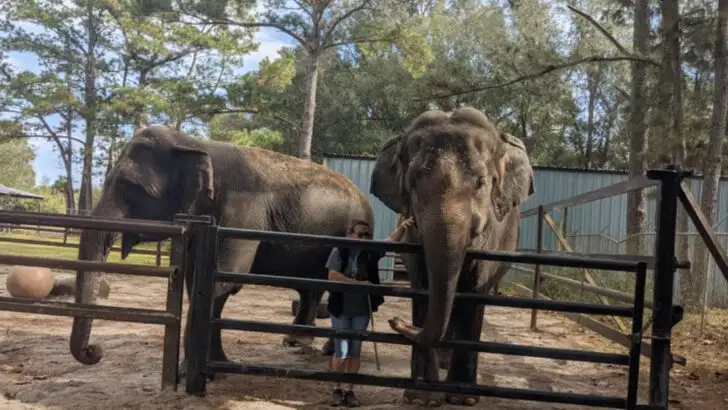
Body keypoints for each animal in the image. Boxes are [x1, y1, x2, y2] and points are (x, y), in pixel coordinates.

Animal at [69, 124, 375, 378]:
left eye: (130, 187)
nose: (94, 351)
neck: (192, 143)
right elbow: (196, 280)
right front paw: (204, 370)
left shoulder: (242, 214)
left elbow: (224, 280)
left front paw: (203, 373)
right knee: (313, 288)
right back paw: (299, 343)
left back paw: (325, 350)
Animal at [369, 107, 534, 406]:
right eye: (413, 183)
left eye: (482, 182)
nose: (395, 321)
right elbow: (424, 290)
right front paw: (421, 397)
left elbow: (473, 295)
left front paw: (461, 399)